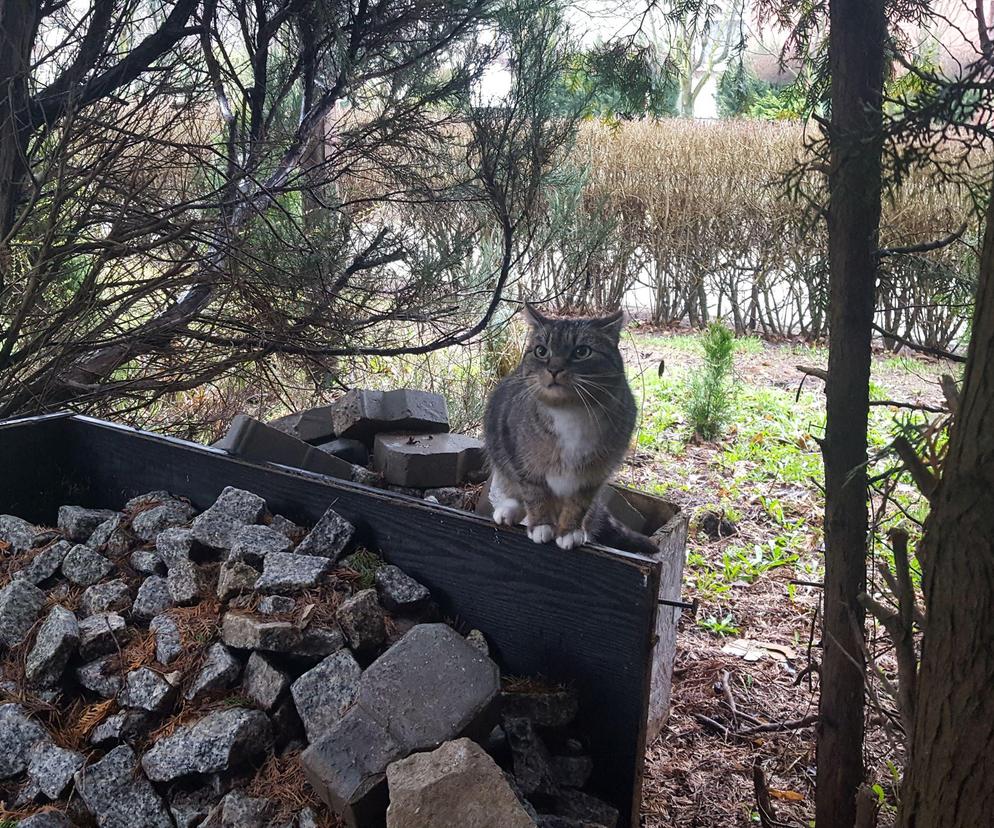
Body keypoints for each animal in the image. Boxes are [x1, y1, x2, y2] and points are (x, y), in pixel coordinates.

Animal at [482, 300, 656, 552]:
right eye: (541, 351)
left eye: (582, 351)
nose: (554, 369)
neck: (569, 411)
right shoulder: (525, 464)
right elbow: (535, 494)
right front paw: (541, 525)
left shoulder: (594, 475)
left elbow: (579, 503)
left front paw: (569, 532)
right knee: (510, 487)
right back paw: (508, 511)